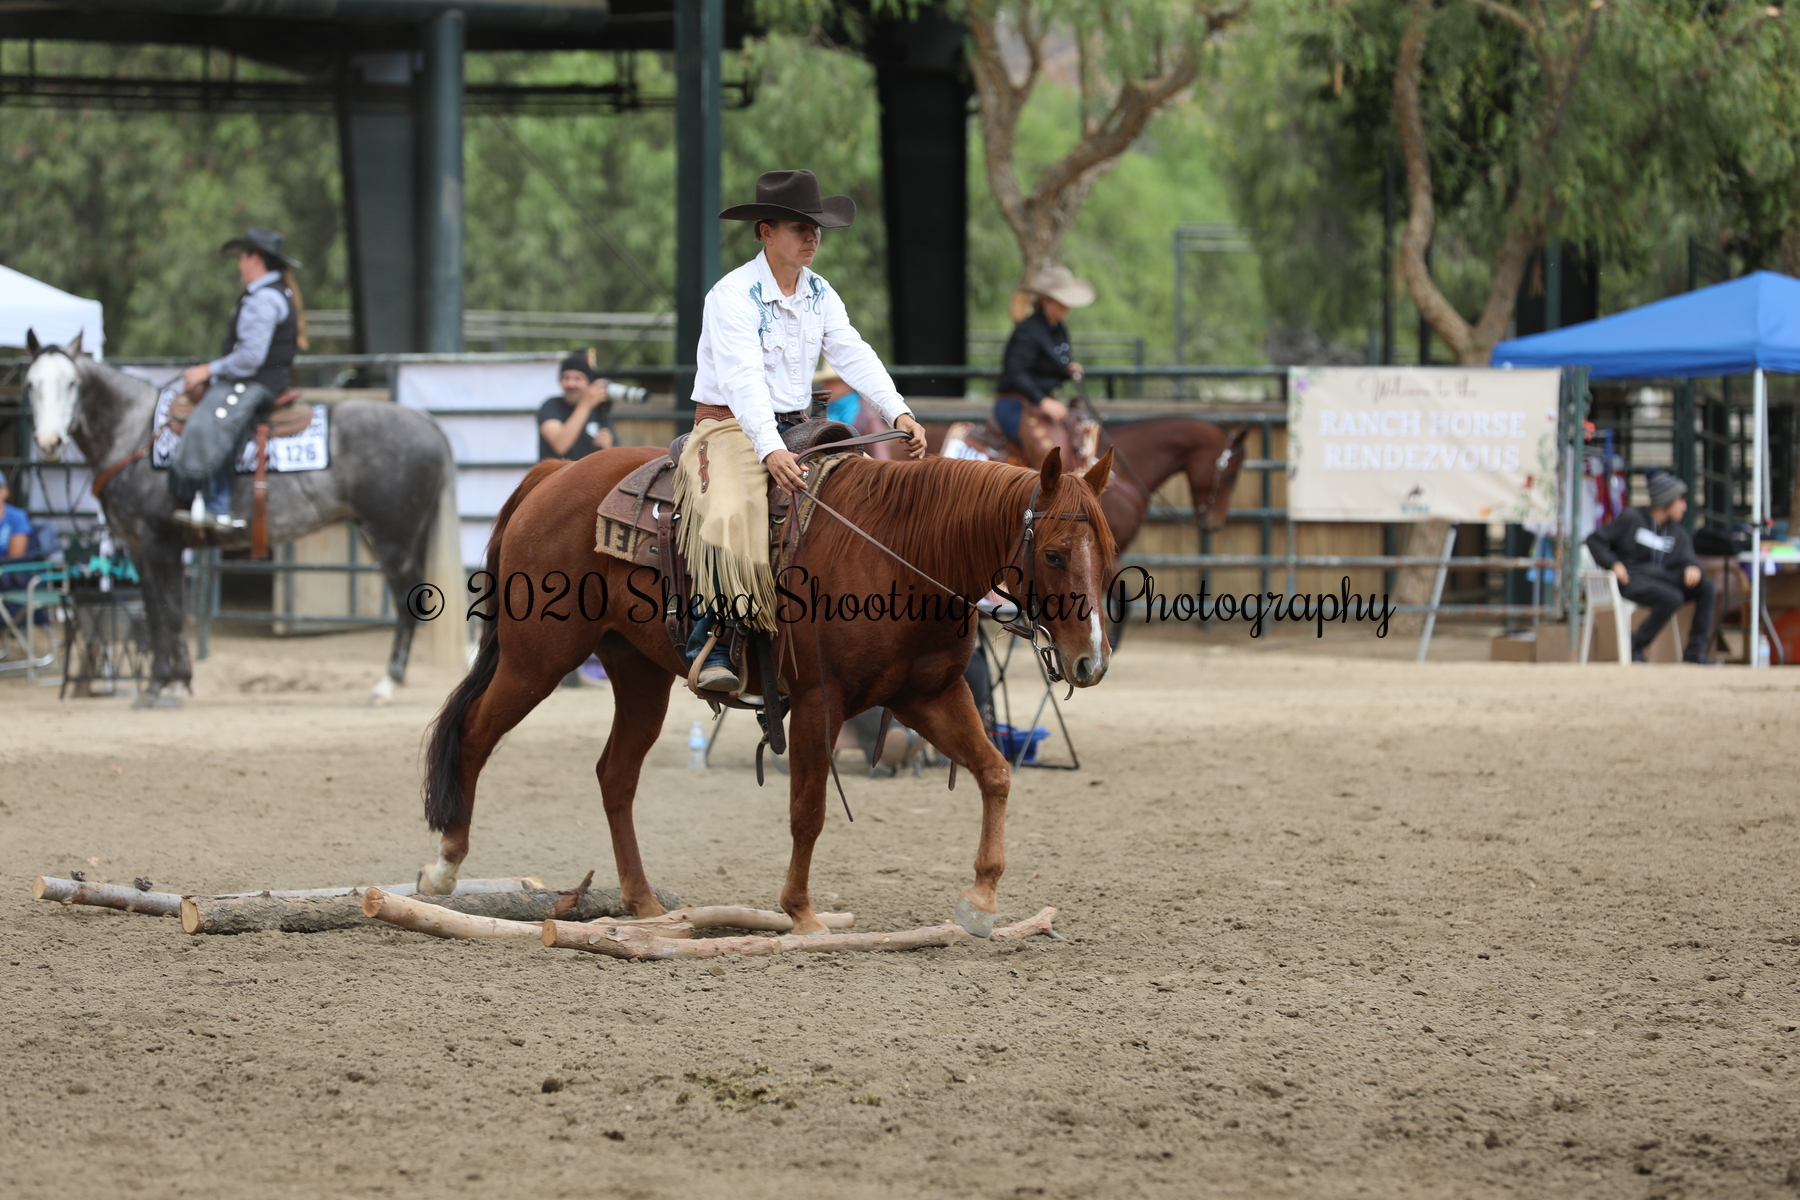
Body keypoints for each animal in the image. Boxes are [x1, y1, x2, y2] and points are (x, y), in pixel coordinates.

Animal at [24, 332, 454, 707]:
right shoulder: (137, 548)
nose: (48, 442)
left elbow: (172, 612)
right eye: (30, 384)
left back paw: (386, 685)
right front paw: (158, 685)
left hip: (392, 538)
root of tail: (429, 425)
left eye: (72, 384)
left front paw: (174, 686)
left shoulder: (161, 542)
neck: (136, 436)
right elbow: (153, 613)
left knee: (406, 601)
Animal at [419, 444, 1117, 935]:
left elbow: (995, 773)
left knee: (615, 774)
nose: (1090, 661)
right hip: (536, 659)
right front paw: (801, 913)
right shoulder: (817, 702)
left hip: (638, 673)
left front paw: (980, 901)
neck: (900, 551)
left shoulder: (930, 696)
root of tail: (558, 472)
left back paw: (643, 902)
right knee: (474, 735)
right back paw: (444, 867)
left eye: (1108, 553)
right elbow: (808, 809)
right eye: (1054, 554)